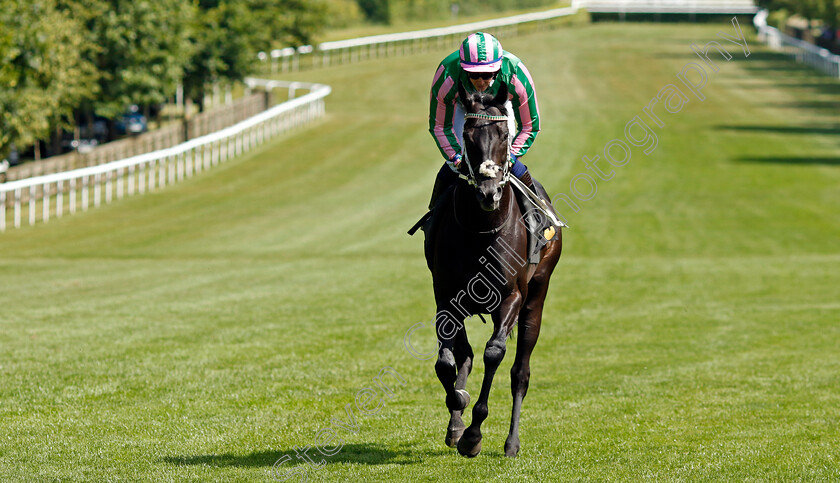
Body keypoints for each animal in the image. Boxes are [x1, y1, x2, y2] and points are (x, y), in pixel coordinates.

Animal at [426, 80, 564, 458]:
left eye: (503, 134)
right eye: (468, 134)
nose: (488, 193)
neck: (481, 228)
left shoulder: (511, 296)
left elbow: (494, 353)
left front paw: (474, 434)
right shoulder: (446, 297)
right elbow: (447, 363)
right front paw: (458, 413)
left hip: (537, 296)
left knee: (521, 372)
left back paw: (511, 443)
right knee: (464, 356)